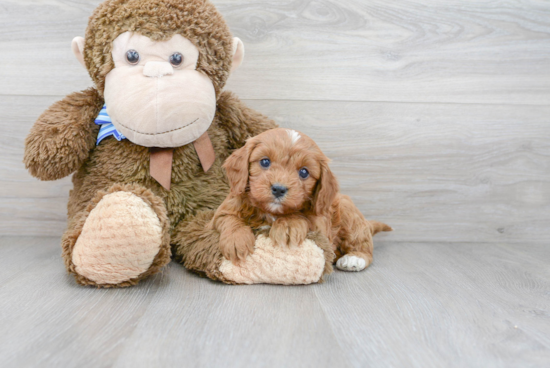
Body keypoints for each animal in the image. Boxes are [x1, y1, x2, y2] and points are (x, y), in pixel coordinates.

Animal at [211, 128, 392, 272]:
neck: (271, 212)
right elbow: (229, 219)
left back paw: (354, 259)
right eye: (265, 161)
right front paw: (237, 240)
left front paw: (288, 224)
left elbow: (304, 217)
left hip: (350, 216)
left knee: (363, 245)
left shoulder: (321, 226)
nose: (279, 189)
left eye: (304, 172)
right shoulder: (223, 211)